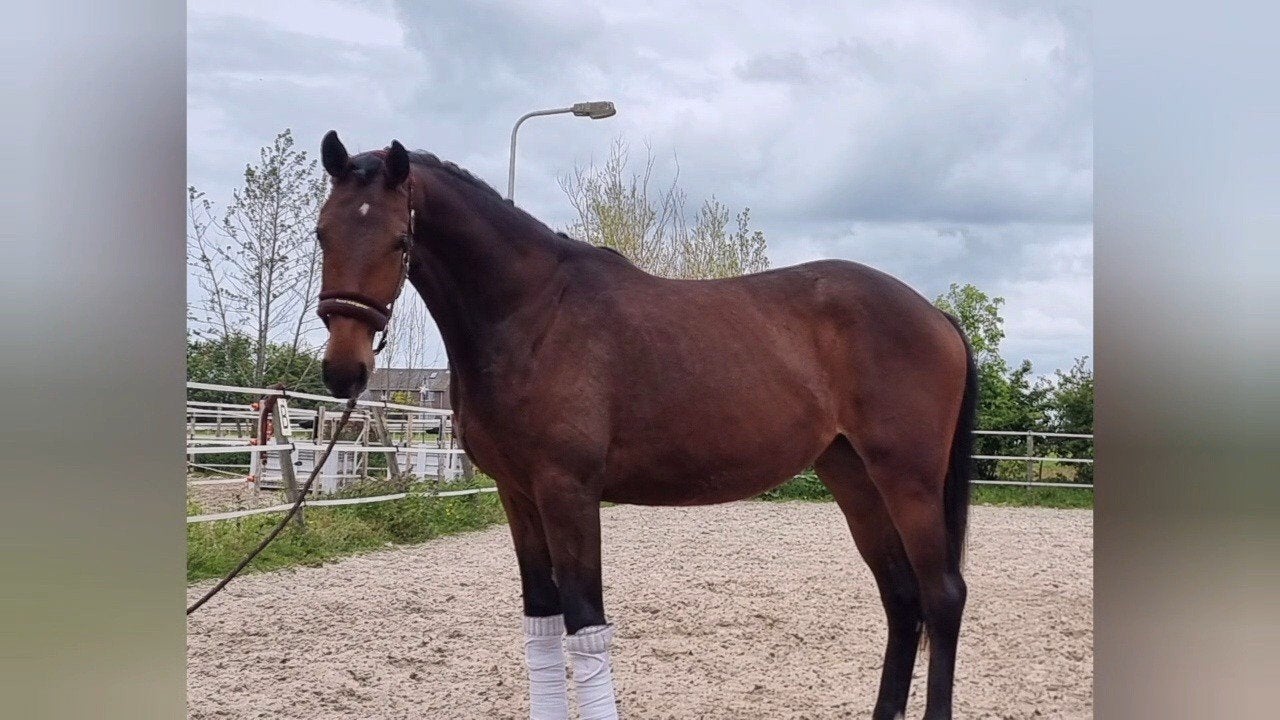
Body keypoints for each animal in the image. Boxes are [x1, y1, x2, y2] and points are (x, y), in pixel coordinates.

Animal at [313, 132, 977, 720]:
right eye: (322, 232)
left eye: (400, 238)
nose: (344, 371)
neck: (532, 313)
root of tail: (934, 314)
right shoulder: (517, 494)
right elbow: (542, 623)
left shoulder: (569, 492)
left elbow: (585, 624)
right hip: (854, 477)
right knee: (902, 599)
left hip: (908, 481)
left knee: (943, 597)